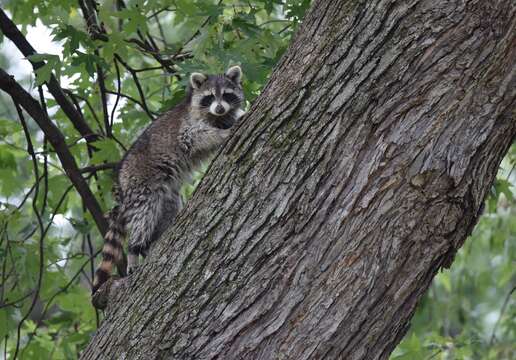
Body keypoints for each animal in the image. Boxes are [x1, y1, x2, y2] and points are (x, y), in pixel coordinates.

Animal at [91, 65, 245, 296]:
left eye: (227, 95)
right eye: (209, 97)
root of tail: (121, 183)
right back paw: (135, 249)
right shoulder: (188, 126)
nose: (219, 108)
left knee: (166, 210)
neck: (214, 116)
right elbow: (195, 137)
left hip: (167, 196)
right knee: (144, 215)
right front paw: (223, 133)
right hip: (140, 183)